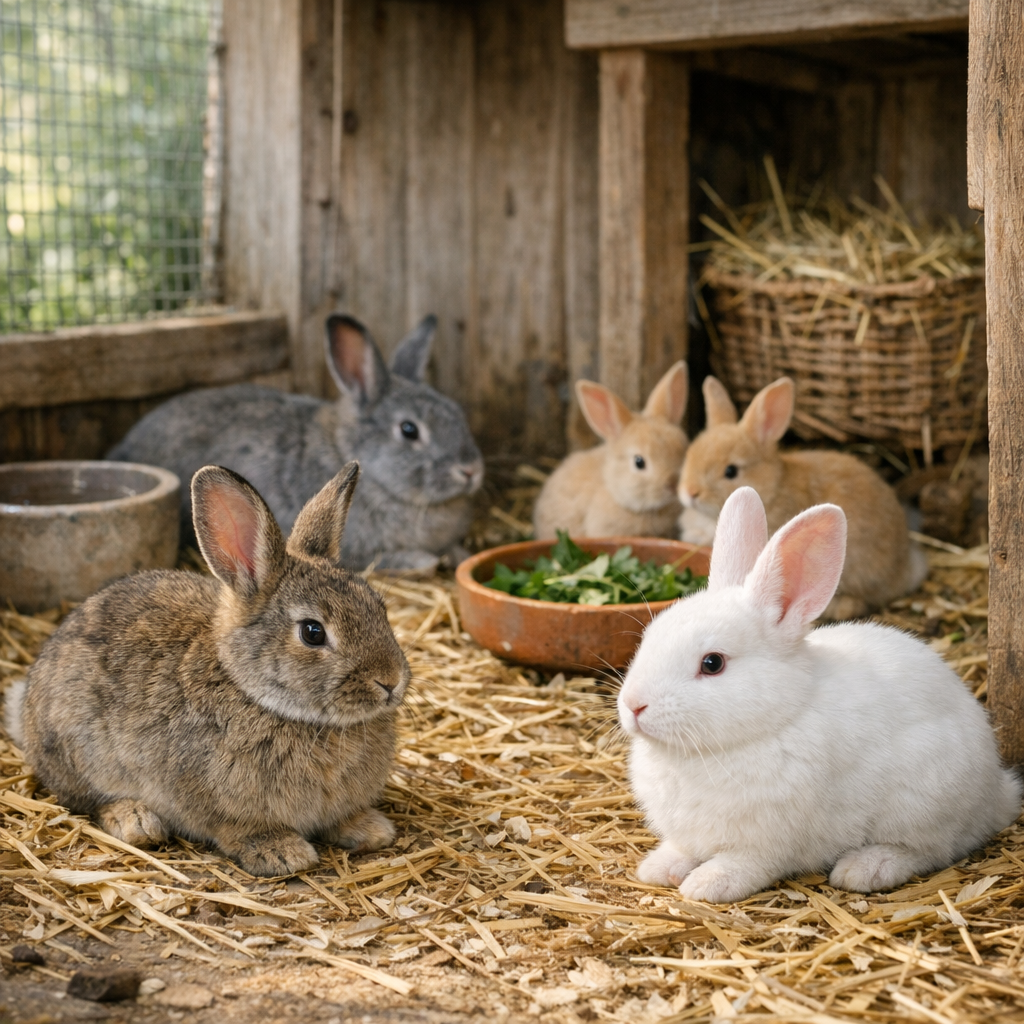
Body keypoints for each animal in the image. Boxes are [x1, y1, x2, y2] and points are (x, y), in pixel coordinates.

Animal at [5, 462, 411, 878]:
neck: (252, 693)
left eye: (379, 606)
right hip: (77, 751)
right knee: (85, 799)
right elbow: (236, 829)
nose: (391, 682)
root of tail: (26, 706)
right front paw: (281, 852)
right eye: (313, 632)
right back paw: (136, 821)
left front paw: (370, 828)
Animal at [109, 314, 484, 572]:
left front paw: (461, 555)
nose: (471, 471)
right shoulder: (354, 550)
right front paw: (424, 561)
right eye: (409, 430)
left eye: (456, 411)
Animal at [619, 486, 1021, 903]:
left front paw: (706, 884)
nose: (633, 705)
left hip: (924, 805)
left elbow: (746, 865)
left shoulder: (766, 843)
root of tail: (997, 790)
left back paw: (865, 868)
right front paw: (657, 868)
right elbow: (682, 849)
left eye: (712, 663)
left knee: (931, 849)